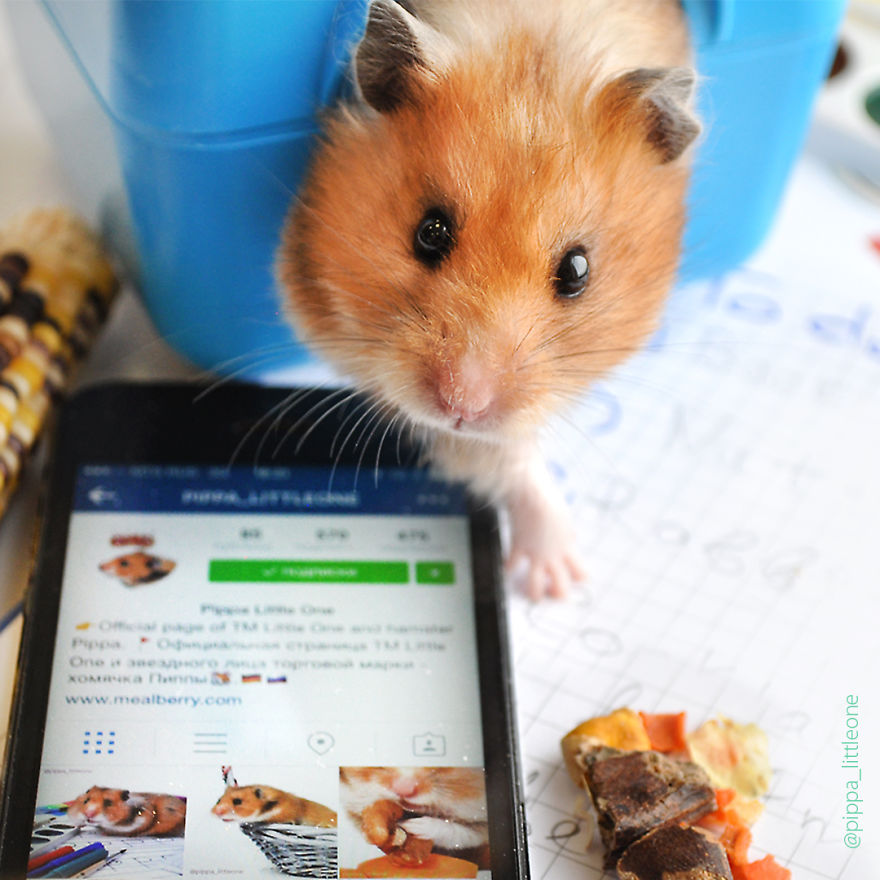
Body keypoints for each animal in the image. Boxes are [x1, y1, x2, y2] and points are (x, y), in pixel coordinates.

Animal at [277, 0, 700, 599]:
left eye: (577, 270)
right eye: (429, 232)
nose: (464, 406)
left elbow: (504, 450)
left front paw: (555, 582)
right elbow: (498, 457)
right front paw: (557, 581)